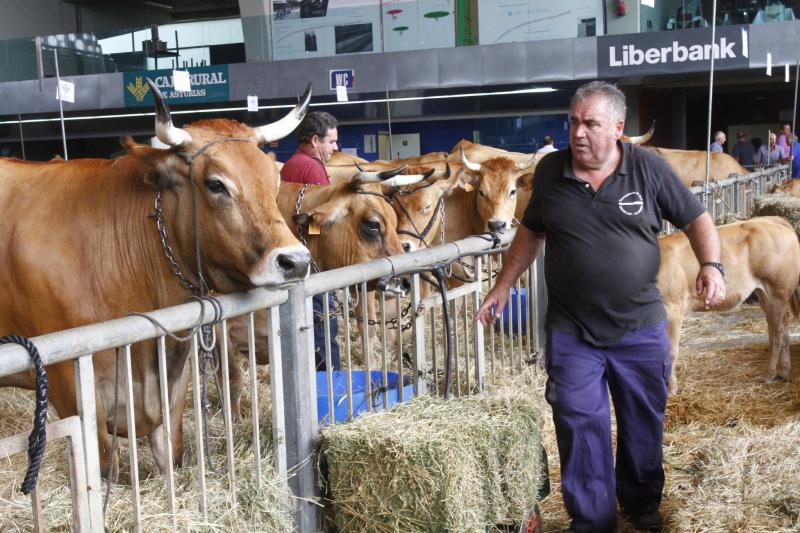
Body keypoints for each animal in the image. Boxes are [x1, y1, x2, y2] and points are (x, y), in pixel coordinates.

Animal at [0, 79, 312, 478]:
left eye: (274, 179)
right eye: (216, 184)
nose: (296, 261)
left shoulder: (171, 380)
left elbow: (171, 454)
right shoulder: (69, 387)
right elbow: (107, 467)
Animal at [656, 214, 800, 392]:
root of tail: (769, 220)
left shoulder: (673, 308)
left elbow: (670, 352)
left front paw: (671, 389)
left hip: (776, 291)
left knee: (777, 333)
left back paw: (769, 374)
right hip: (767, 295)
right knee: (782, 328)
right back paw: (784, 372)